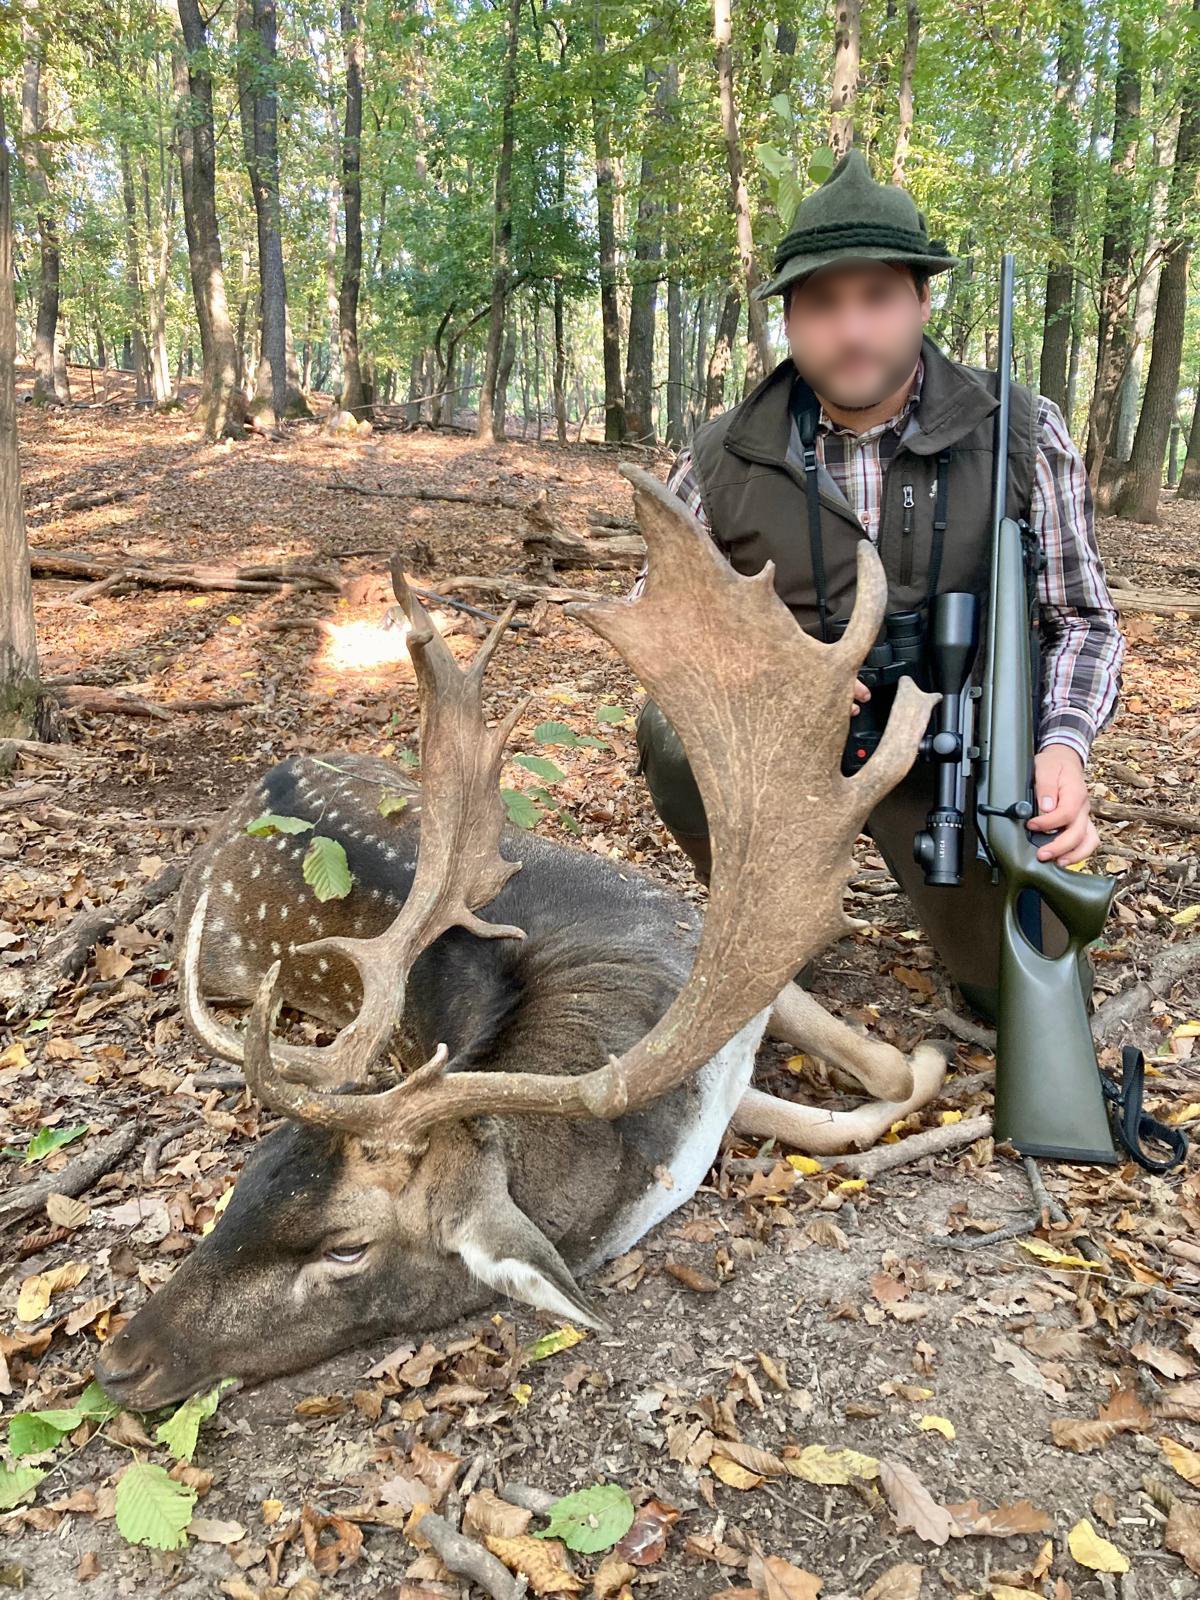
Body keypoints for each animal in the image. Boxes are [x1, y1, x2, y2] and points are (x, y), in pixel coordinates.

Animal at [96, 466, 948, 1413]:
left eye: (344, 1247)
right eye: (246, 1180)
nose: (120, 1360)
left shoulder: (738, 980)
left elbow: (889, 1074)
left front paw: (934, 1061)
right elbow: (849, 1115)